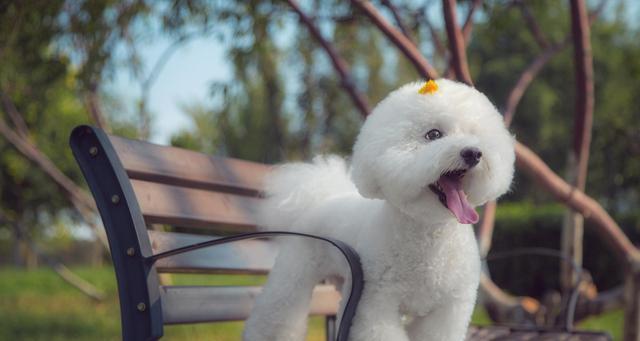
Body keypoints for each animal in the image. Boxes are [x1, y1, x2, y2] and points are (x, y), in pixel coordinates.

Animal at [242, 79, 516, 340]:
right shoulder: (374, 302)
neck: (430, 238)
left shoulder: (448, 309)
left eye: (474, 135)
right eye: (433, 134)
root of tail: (322, 196)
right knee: (277, 314)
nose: (473, 152)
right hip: (295, 273)